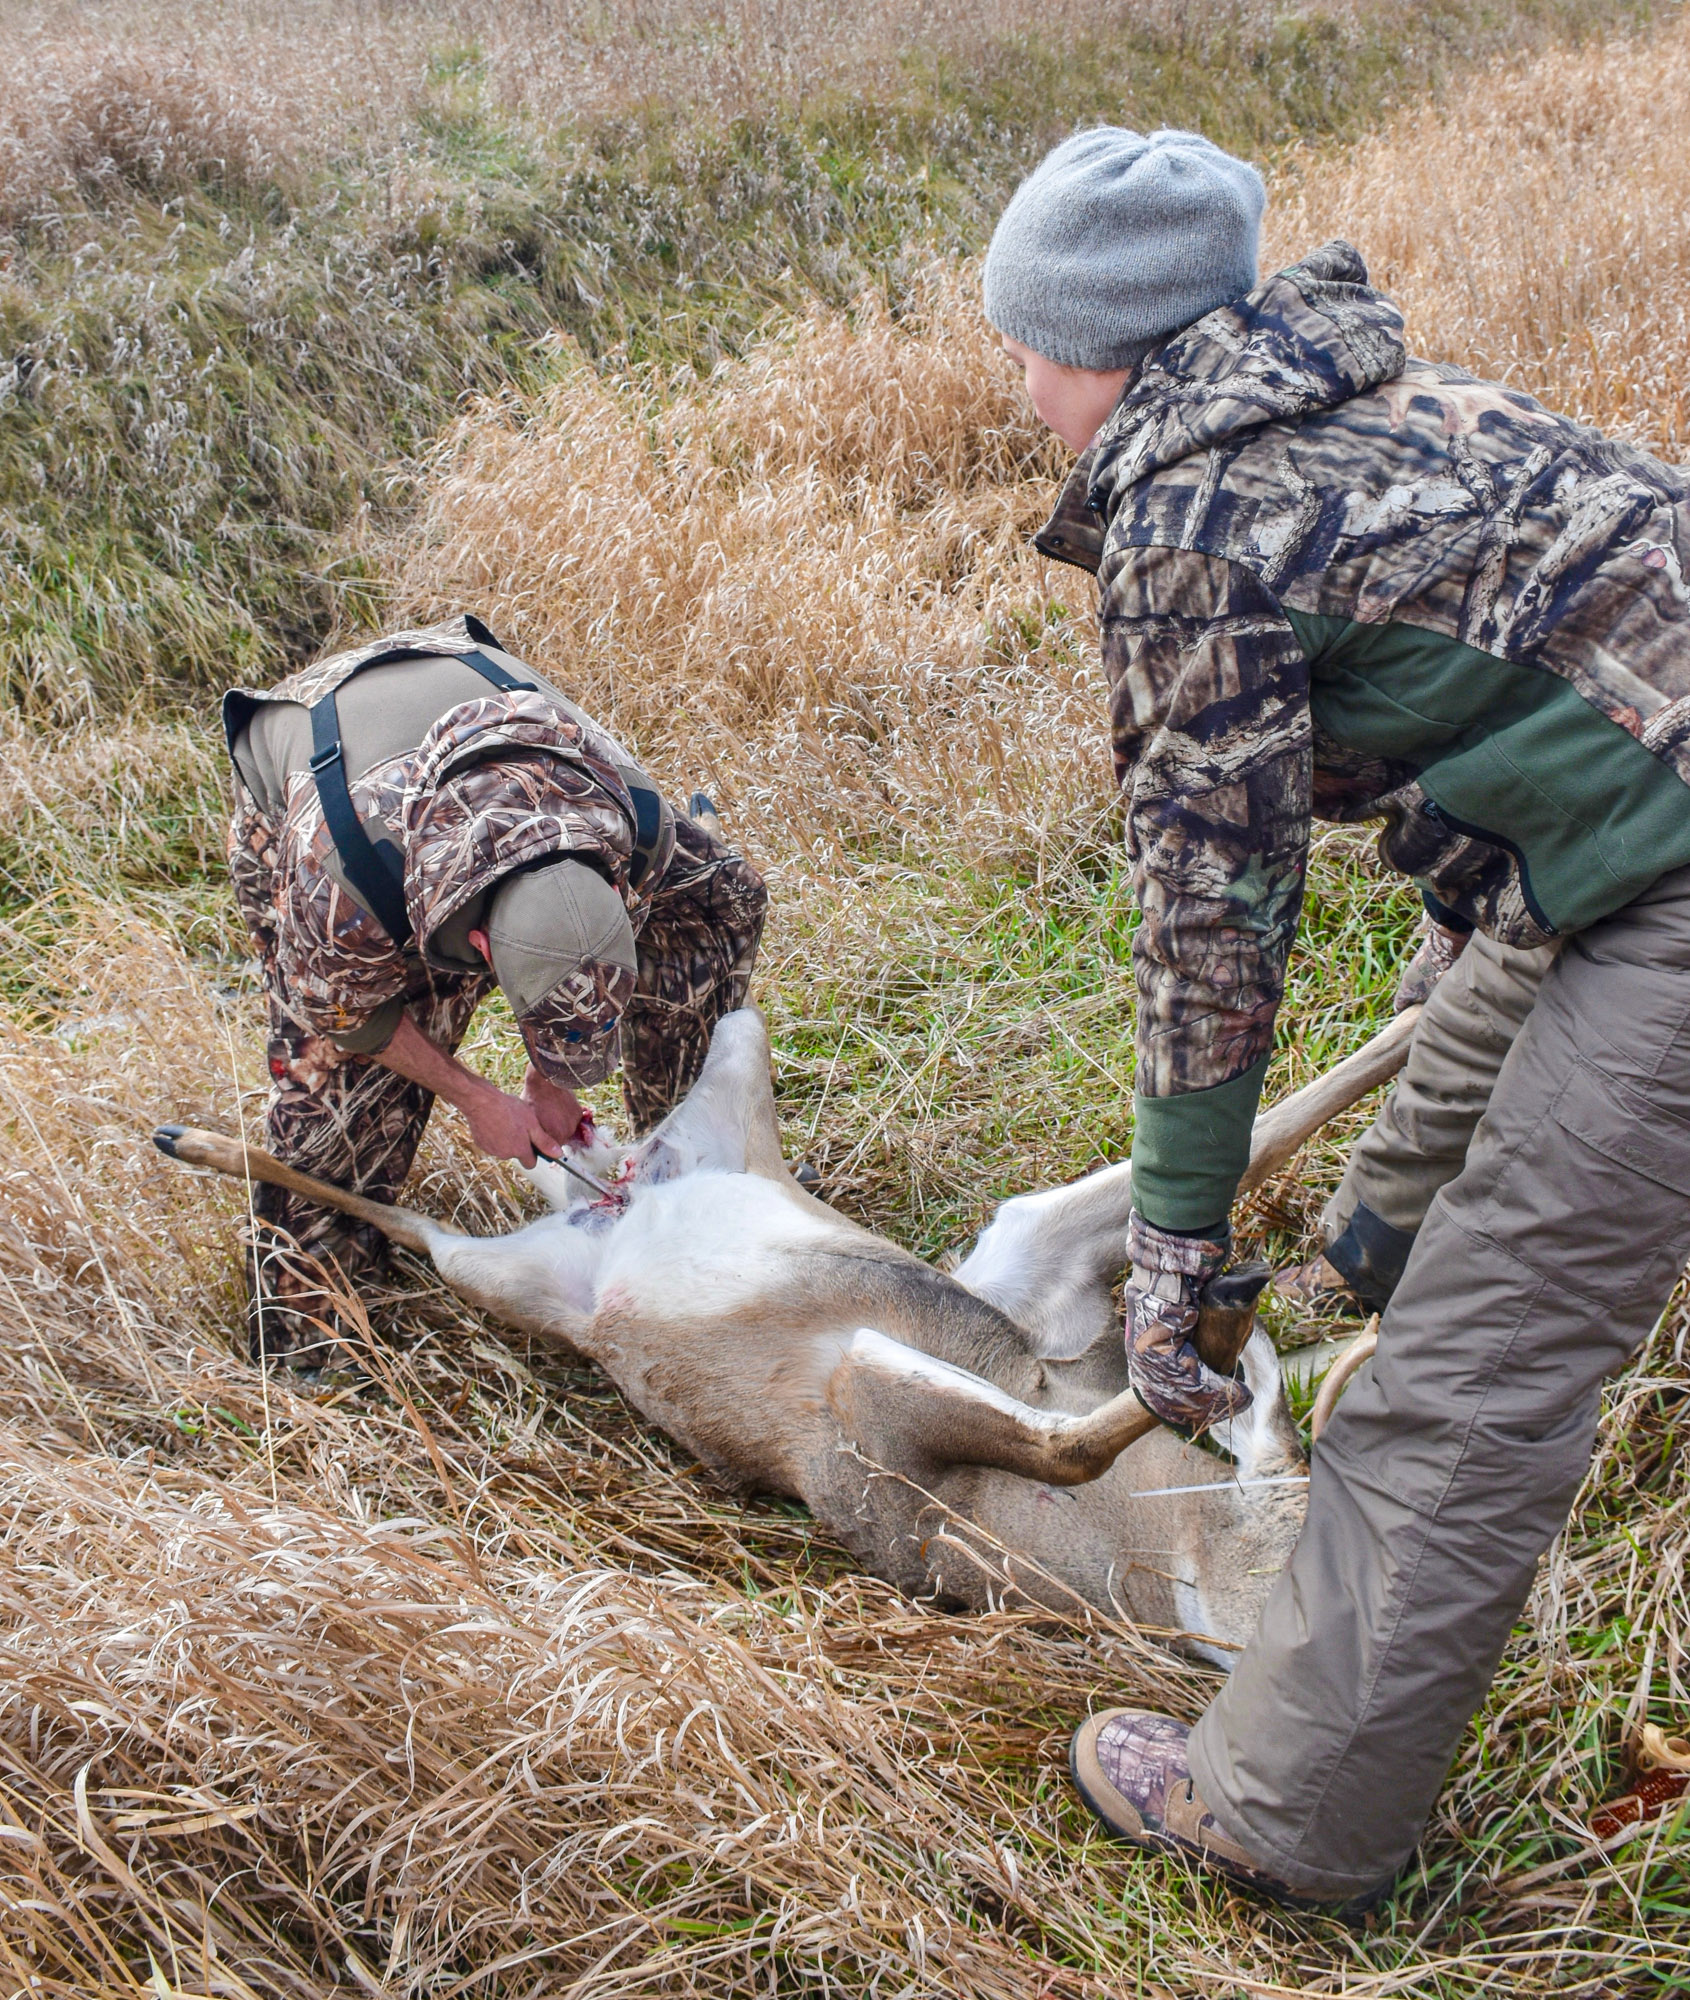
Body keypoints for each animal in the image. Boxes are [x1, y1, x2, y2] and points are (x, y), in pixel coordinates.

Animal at [158, 1016, 1416, 1656]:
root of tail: (619, 1198)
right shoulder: (887, 1418)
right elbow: (1067, 1430)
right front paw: (1219, 1328)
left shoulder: (1025, 1286)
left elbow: (1257, 1138)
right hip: (524, 1262)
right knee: (412, 1206)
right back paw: (188, 1138)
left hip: (662, 1127)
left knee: (445, 1197)